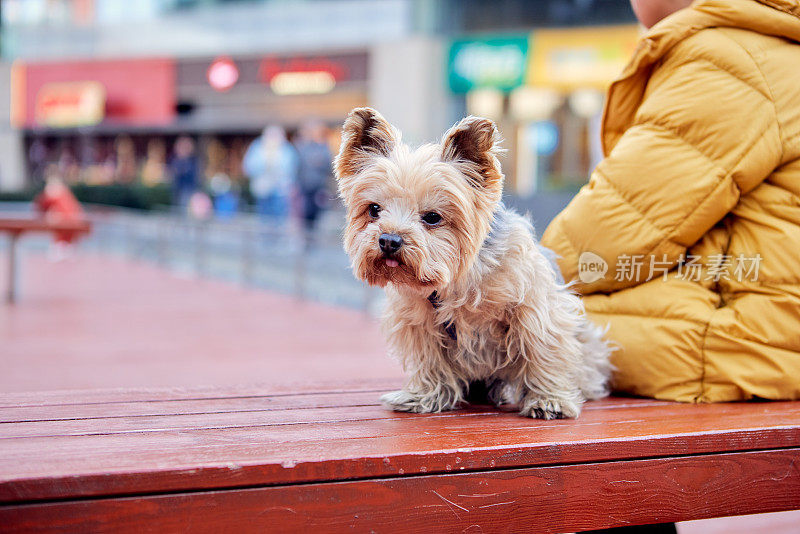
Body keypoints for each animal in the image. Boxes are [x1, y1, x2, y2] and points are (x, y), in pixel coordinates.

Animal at [334, 107, 608, 420]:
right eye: (374, 210)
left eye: (432, 217)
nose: (389, 240)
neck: (457, 278)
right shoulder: (419, 321)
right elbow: (430, 360)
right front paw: (425, 396)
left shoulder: (535, 308)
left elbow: (541, 351)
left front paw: (548, 399)